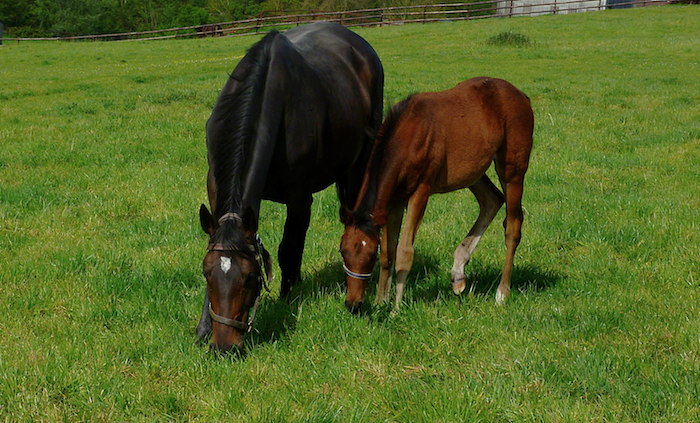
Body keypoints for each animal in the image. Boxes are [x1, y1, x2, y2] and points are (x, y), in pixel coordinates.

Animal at [196, 23, 382, 354]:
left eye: (250, 277)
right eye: (207, 273)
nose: (224, 347)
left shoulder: (299, 198)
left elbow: (288, 249)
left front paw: (287, 298)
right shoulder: (216, 188)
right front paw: (204, 327)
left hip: (362, 158)